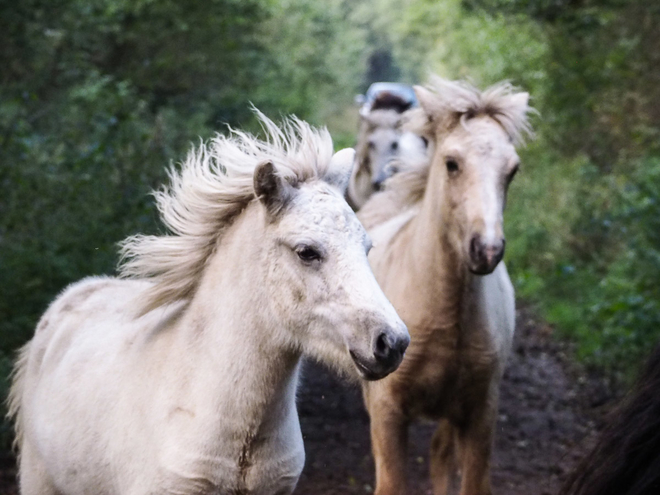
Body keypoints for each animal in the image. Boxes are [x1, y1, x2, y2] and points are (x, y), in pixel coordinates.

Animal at [358, 77, 532, 495]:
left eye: (512, 170)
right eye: (452, 163)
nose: (486, 250)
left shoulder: (479, 412)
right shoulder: (387, 412)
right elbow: (391, 483)